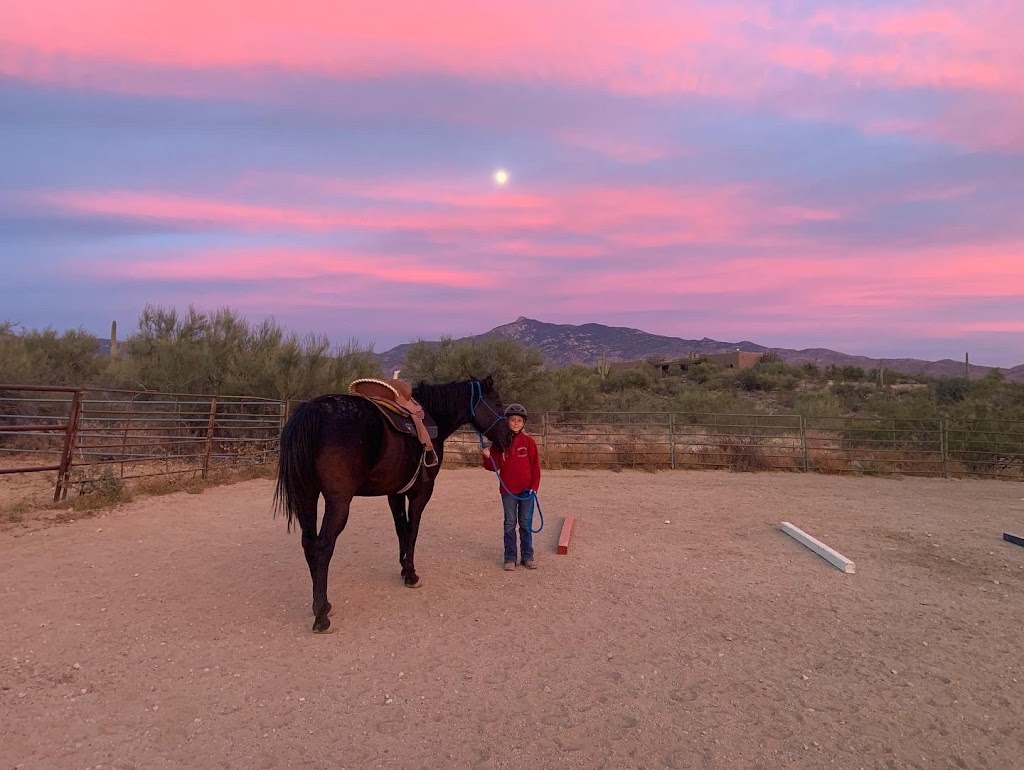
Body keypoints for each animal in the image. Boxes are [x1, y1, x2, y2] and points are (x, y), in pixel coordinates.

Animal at [274, 374, 512, 630]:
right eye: (498, 403)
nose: (509, 438)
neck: (433, 416)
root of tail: (313, 411)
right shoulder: (421, 492)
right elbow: (413, 531)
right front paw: (411, 574)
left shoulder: (395, 493)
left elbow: (402, 530)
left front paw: (403, 568)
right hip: (338, 502)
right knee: (323, 545)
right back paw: (321, 615)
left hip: (306, 496)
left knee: (308, 542)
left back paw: (323, 603)